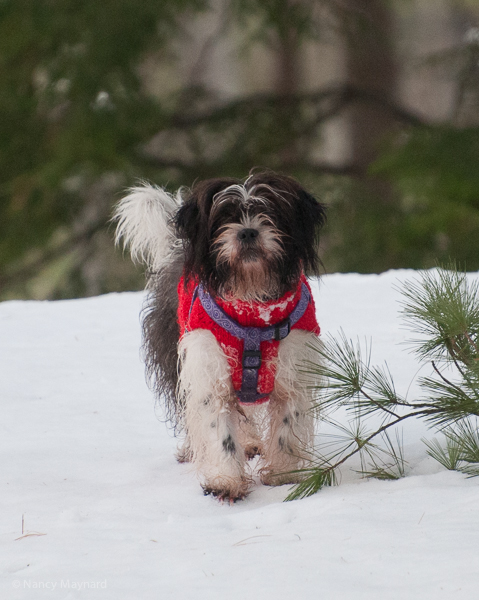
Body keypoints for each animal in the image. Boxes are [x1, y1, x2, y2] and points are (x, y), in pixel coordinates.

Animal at [114, 170, 328, 502]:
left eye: (269, 212)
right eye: (225, 217)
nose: (248, 232)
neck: (251, 302)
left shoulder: (294, 369)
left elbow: (286, 427)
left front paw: (283, 475)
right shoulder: (208, 368)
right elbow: (219, 429)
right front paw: (226, 480)